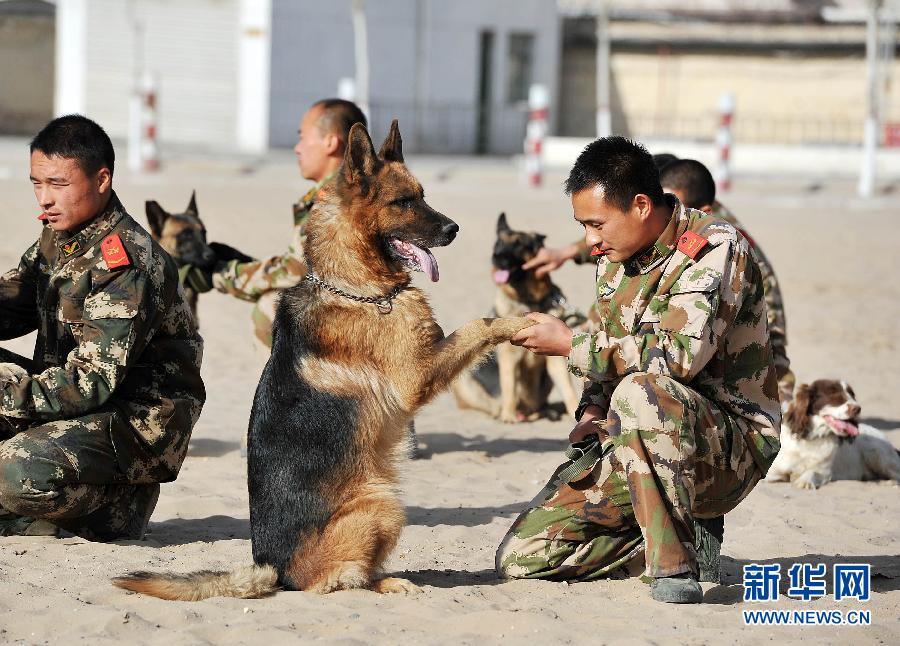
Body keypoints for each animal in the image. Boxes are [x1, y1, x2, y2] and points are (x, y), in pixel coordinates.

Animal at [450, 214, 584, 426]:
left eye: (520, 245)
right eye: (498, 243)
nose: (497, 257)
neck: (528, 300)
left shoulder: (555, 360)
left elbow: (568, 389)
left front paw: (574, 414)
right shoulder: (509, 356)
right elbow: (509, 385)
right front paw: (508, 416)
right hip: (465, 379)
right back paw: (503, 412)